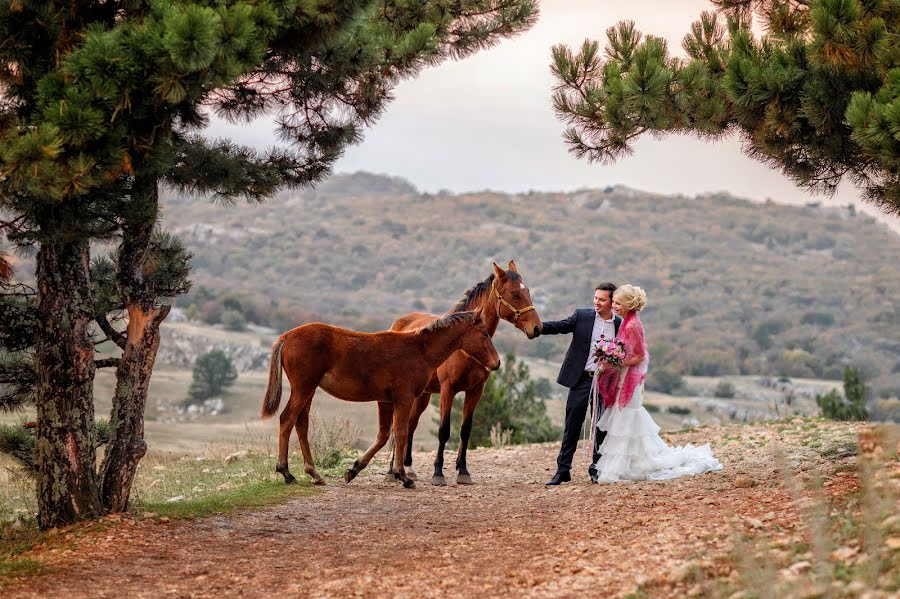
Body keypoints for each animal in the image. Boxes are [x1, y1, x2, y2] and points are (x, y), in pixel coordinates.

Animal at [260, 310, 502, 488]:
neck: (418, 350)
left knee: (301, 423)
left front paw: (354, 469)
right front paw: (403, 476)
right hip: (303, 388)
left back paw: (314, 473)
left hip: (308, 390)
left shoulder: (385, 401)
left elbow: (385, 435)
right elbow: (401, 433)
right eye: (484, 334)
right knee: (287, 419)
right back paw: (287, 473)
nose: (497, 363)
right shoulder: (404, 398)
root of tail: (286, 337)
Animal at [388, 260, 540, 486]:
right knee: (397, 426)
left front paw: (463, 471)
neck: (463, 346)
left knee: (410, 425)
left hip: (422, 396)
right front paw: (438, 473)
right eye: (514, 294)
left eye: (527, 291)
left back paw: (407, 468)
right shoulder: (448, 390)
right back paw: (392, 471)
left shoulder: (476, 391)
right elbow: (444, 431)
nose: (537, 328)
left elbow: (465, 430)